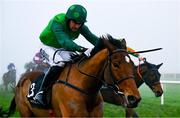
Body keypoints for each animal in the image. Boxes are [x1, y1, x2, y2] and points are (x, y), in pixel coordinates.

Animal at [7, 34, 141, 116]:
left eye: (132, 65)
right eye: (116, 64)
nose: (134, 98)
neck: (85, 88)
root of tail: (22, 79)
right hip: (26, 112)